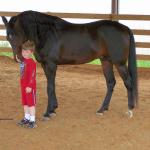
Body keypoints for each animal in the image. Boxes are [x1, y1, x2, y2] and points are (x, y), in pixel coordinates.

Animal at [1, 10, 138, 119]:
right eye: (8, 37)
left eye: (16, 35)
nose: (18, 58)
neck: (47, 33)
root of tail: (125, 28)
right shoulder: (45, 65)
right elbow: (51, 85)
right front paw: (53, 108)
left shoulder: (51, 64)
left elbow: (50, 87)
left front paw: (48, 112)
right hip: (106, 61)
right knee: (110, 83)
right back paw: (102, 109)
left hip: (119, 63)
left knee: (128, 82)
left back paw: (130, 109)